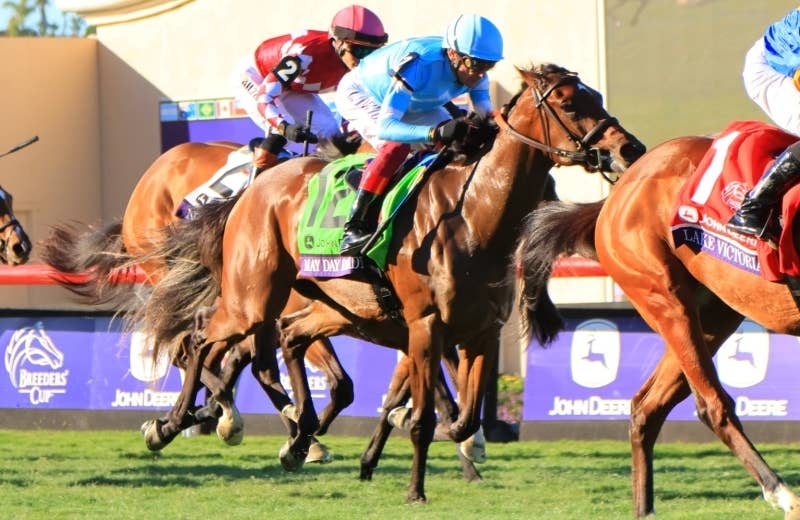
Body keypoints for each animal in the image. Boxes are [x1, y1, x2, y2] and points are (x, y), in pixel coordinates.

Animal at [126, 62, 644, 503]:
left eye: (597, 95)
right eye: (569, 103)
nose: (630, 150)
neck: (473, 216)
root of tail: (254, 188)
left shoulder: (480, 331)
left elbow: (461, 418)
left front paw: (440, 442)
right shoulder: (424, 325)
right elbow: (425, 415)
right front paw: (414, 488)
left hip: (325, 306)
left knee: (281, 342)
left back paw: (294, 434)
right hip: (252, 298)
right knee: (200, 340)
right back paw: (177, 424)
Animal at [514, 129, 800, 518]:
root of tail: (617, 194)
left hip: (714, 314)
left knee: (647, 407)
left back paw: (645, 509)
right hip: (666, 299)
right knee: (711, 406)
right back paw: (784, 495)